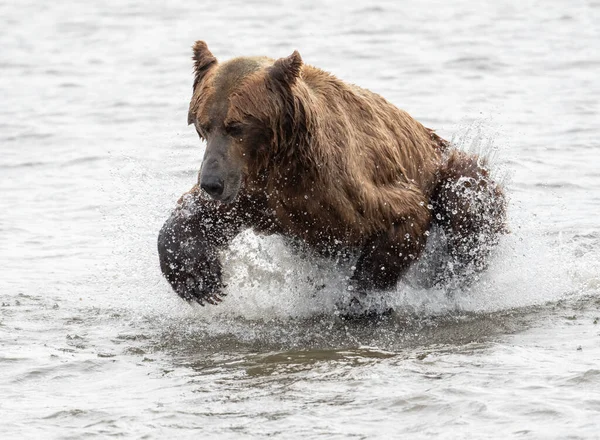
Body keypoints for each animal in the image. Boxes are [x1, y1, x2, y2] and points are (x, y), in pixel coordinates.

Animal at [156, 43, 506, 308]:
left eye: (236, 126)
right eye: (202, 124)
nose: (210, 183)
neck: (285, 158)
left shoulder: (345, 187)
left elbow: (404, 217)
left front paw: (358, 299)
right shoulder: (256, 190)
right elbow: (203, 218)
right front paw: (200, 280)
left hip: (452, 168)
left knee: (467, 208)